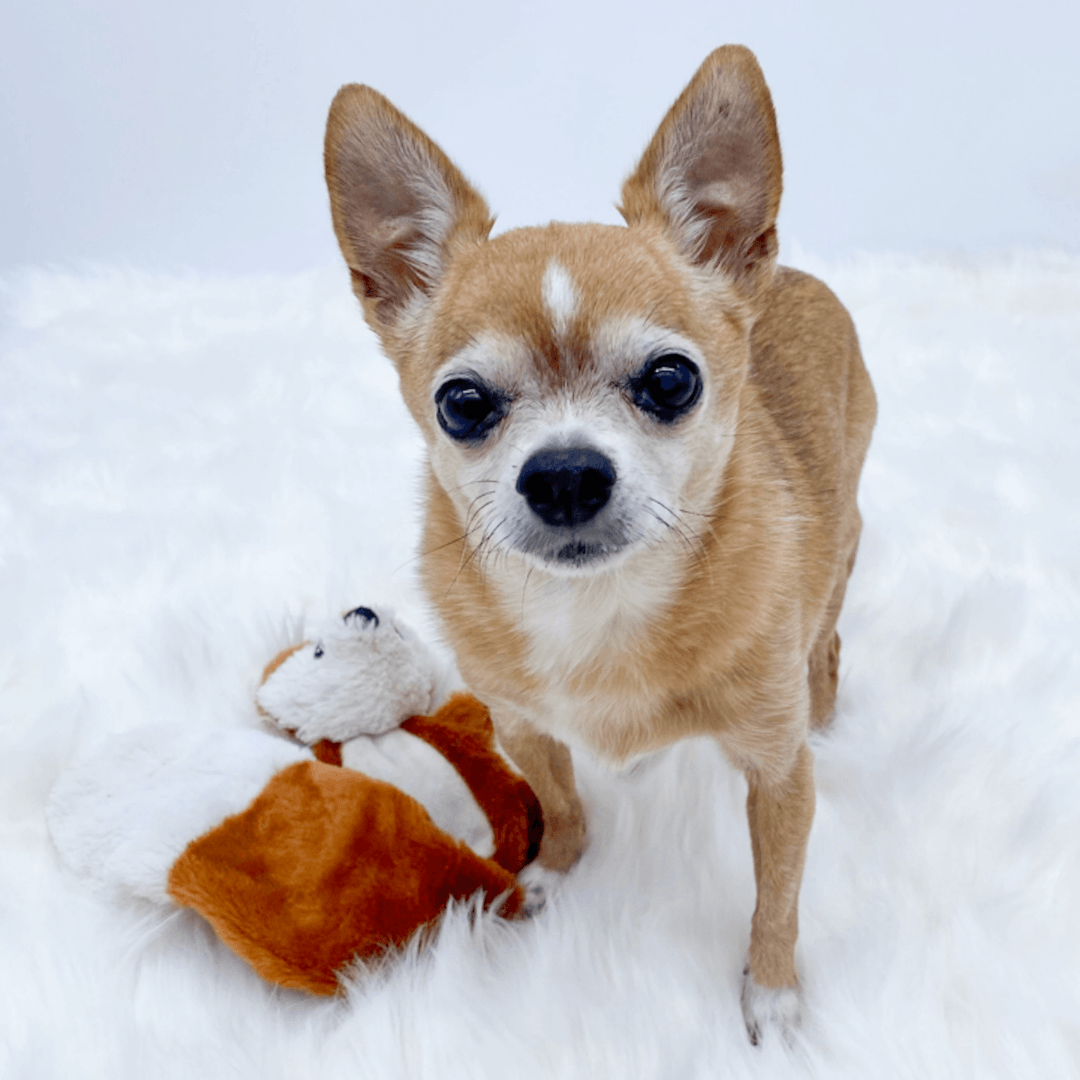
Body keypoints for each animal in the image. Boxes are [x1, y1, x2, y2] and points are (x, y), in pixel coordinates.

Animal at [321, 46, 876, 1041]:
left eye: (672, 380)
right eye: (462, 403)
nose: (566, 473)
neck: (599, 611)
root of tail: (796, 275)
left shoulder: (778, 777)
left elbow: (777, 897)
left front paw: (772, 1000)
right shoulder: (521, 723)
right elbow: (561, 799)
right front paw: (549, 874)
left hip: (842, 539)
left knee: (828, 635)